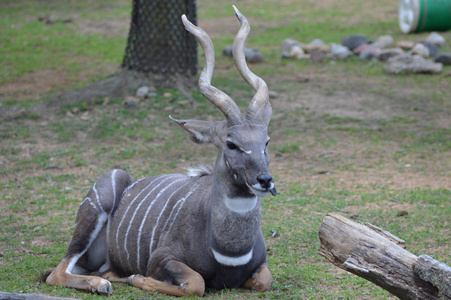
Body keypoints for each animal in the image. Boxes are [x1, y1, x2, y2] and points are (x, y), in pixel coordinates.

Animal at [47, 5, 278, 296]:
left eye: (266, 141)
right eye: (231, 144)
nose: (265, 180)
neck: (229, 251)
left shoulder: (262, 266)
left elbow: (262, 282)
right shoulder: (161, 258)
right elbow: (195, 283)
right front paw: (135, 278)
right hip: (100, 199)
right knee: (56, 273)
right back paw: (102, 284)